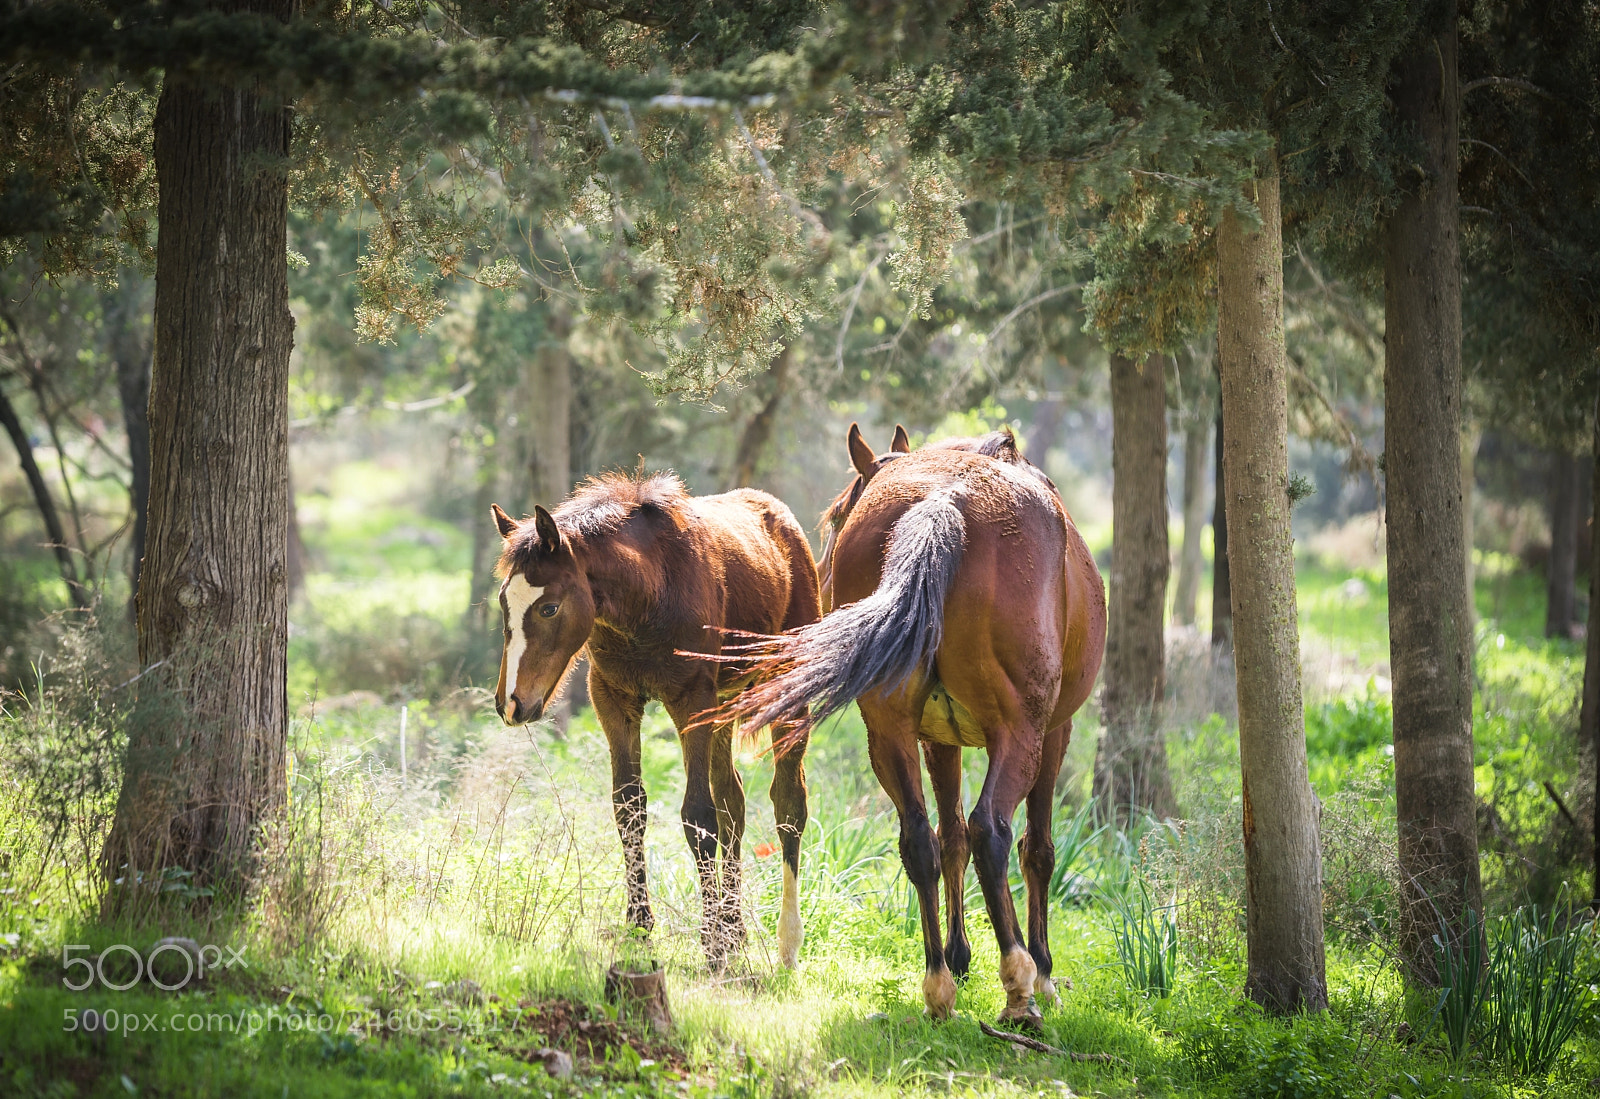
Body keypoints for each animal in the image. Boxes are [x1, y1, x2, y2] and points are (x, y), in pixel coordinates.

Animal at [490, 469, 821, 970]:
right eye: (504, 604)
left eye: (548, 607)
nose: (511, 703)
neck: (649, 594)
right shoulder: (614, 699)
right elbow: (630, 809)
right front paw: (641, 932)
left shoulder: (691, 701)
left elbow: (698, 816)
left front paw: (713, 946)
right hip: (725, 707)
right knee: (735, 802)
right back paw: (736, 929)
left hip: (785, 689)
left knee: (788, 805)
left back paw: (786, 943)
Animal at [719, 424, 1105, 1026]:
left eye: (836, 516)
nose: (820, 578)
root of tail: (943, 502)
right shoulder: (1054, 731)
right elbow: (1035, 849)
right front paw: (1043, 973)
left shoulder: (936, 738)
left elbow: (949, 841)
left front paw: (959, 957)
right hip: (1020, 732)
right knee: (992, 831)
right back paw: (1019, 985)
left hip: (889, 732)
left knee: (921, 840)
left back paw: (938, 985)